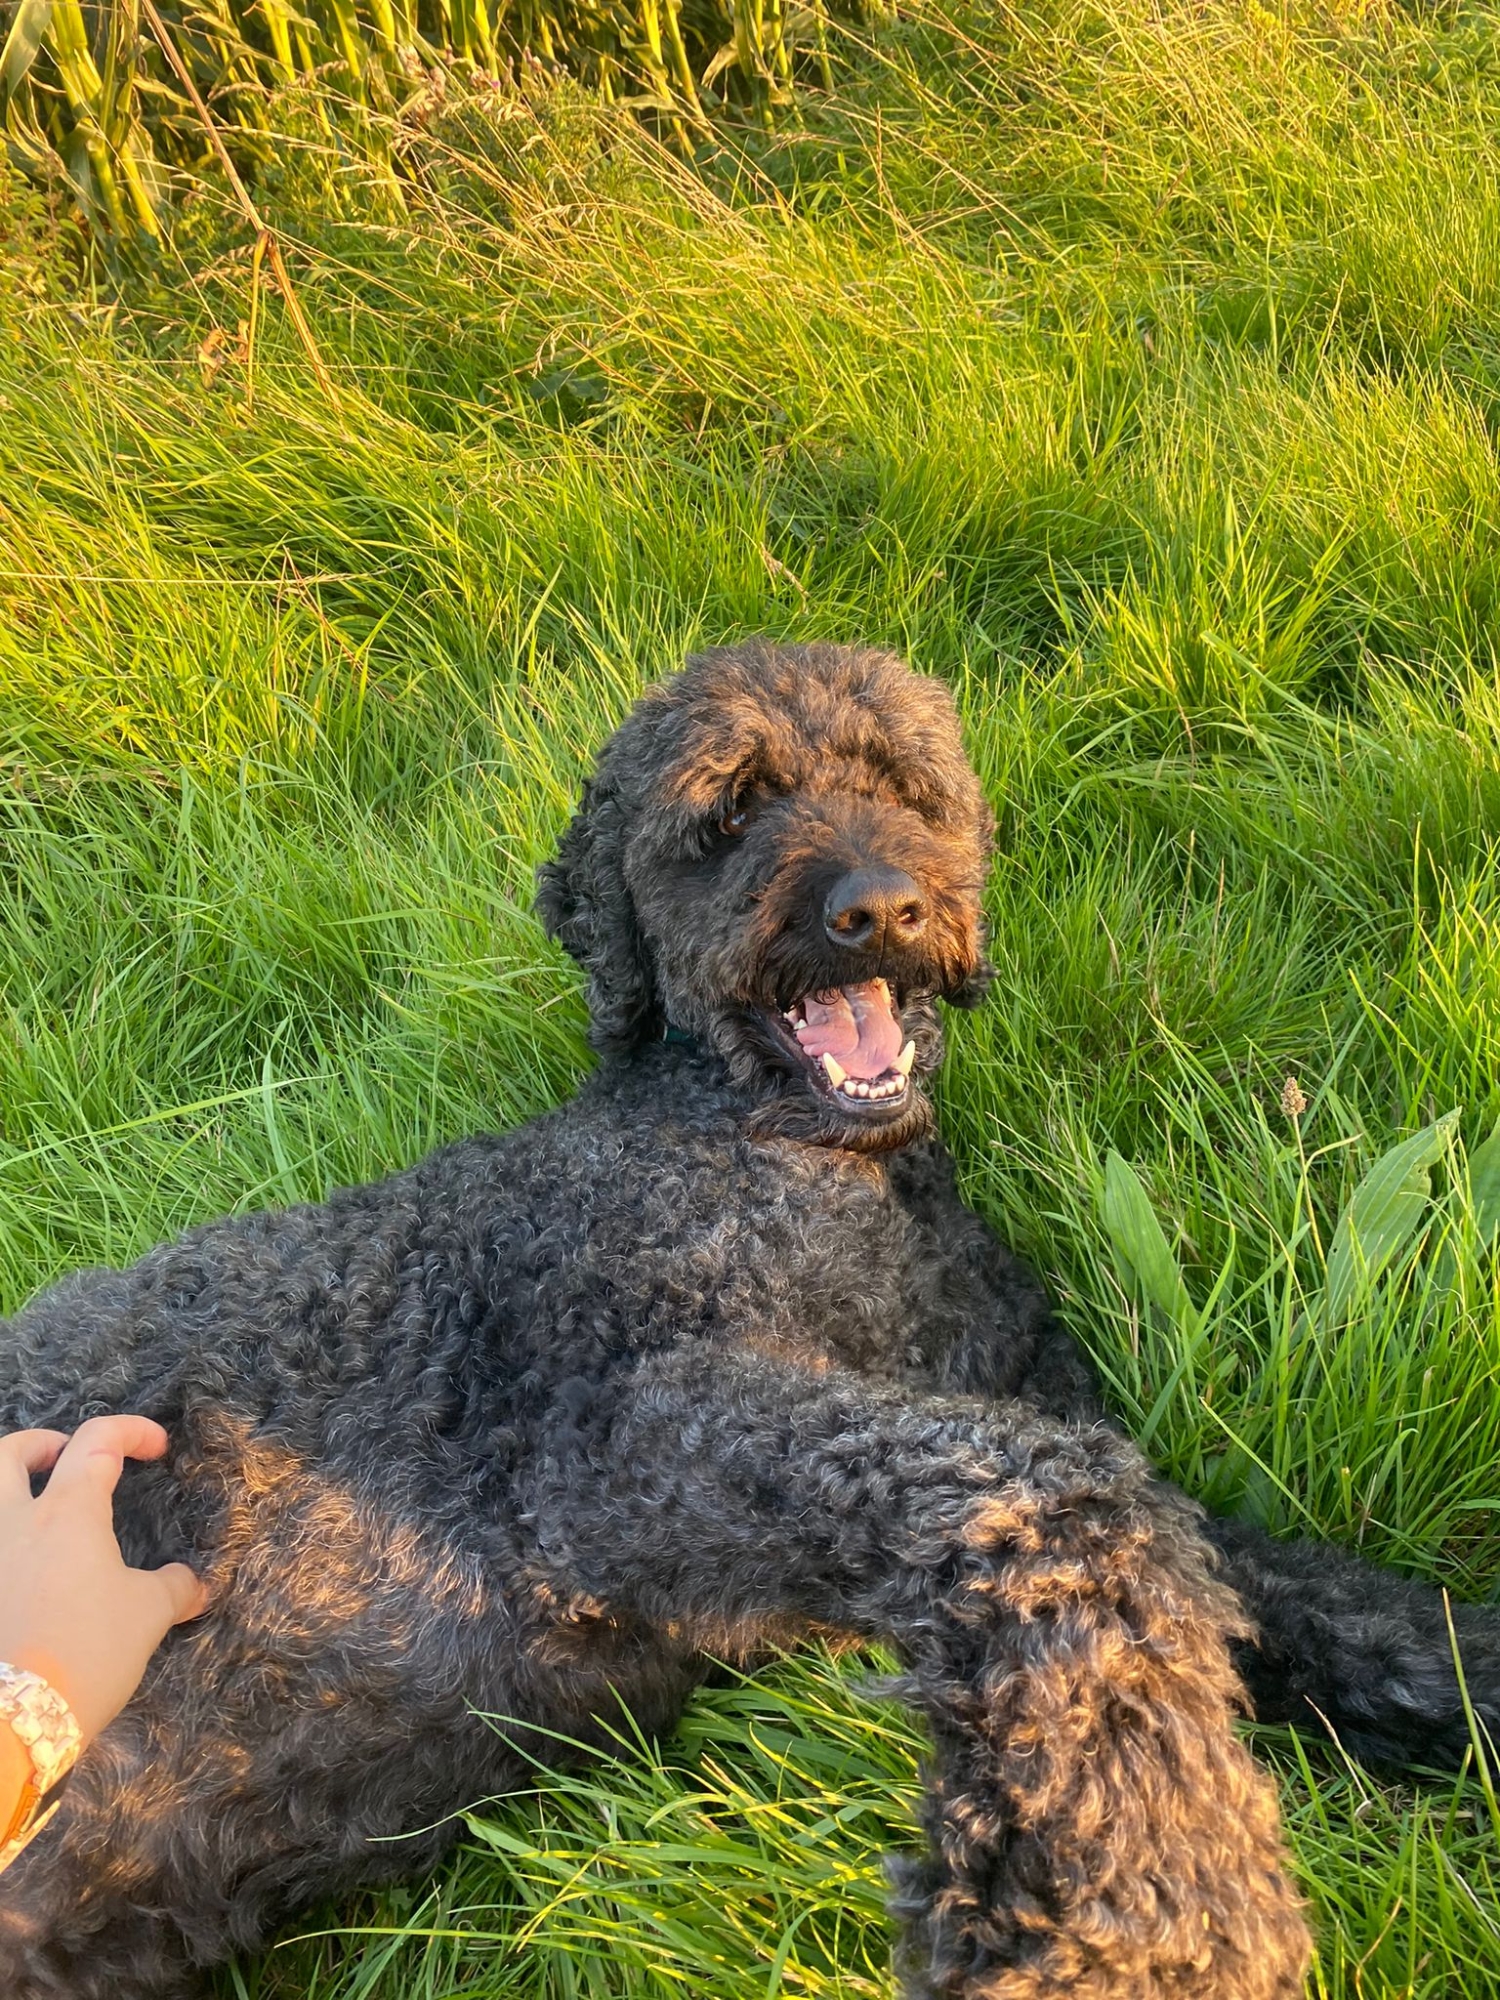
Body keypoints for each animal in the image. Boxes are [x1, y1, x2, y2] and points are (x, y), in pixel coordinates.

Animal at [2, 648, 1500, 1992]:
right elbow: (1061, 1503)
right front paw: (1144, 1901)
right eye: (728, 813)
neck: (792, 1147)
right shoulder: (626, 1435)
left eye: (902, 783)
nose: (877, 907)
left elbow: (1303, 1592)